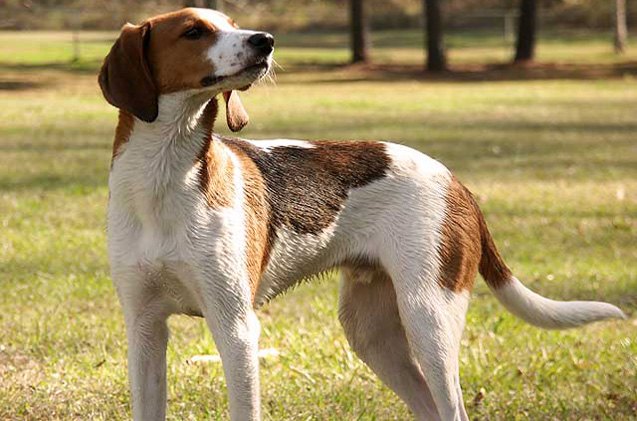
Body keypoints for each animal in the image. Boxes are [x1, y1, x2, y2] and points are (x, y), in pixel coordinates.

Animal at [99, 7, 628, 420]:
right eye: (194, 31)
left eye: (231, 23)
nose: (265, 40)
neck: (163, 177)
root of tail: (456, 181)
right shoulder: (144, 328)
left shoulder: (235, 327)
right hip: (372, 333)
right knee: (429, 407)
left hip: (428, 319)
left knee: (452, 407)